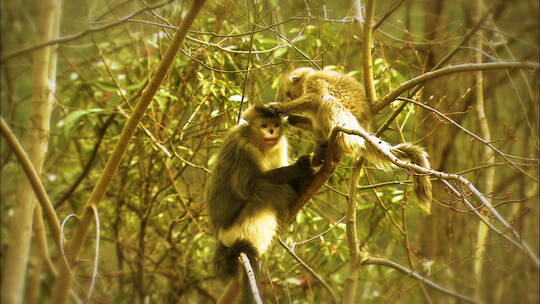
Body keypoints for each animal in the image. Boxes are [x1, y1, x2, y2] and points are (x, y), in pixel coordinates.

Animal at [207, 105, 316, 304]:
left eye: (274, 125)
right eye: (264, 125)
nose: (271, 131)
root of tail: (219, 237)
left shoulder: (280, 145)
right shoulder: (243, 149)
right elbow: (249, 187)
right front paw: (300, 168)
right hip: (234, 229)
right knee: (264, 191)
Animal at [268, 67, 432, 213]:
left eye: (290, 95)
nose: (291, 99)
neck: (311, 75)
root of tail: (362, 130)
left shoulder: (314, 81)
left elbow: (315, 98)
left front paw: (281, 107)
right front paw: (292, 118)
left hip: (349, 125)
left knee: (327, 101)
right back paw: (320, 153)